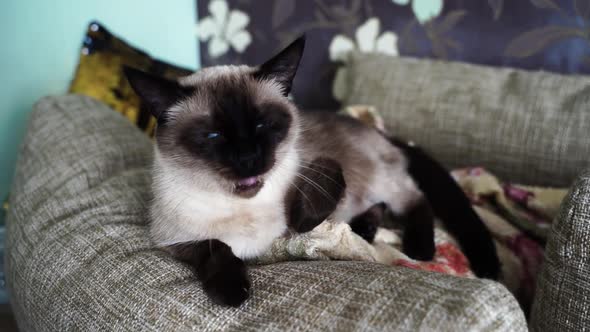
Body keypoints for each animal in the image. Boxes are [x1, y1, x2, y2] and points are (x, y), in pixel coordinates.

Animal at [123, 35, 500, 306]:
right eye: (213, 136)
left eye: (263, 126)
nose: (249, 158)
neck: (245, 208)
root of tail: (379, 132)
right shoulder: (172, 239)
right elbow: (215, 248)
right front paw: (232, 293)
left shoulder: (314, 168)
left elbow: (316, 196)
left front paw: (302, 219)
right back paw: (364, 230)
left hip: (379, 179)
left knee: (415, 201)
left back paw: (419, 248)